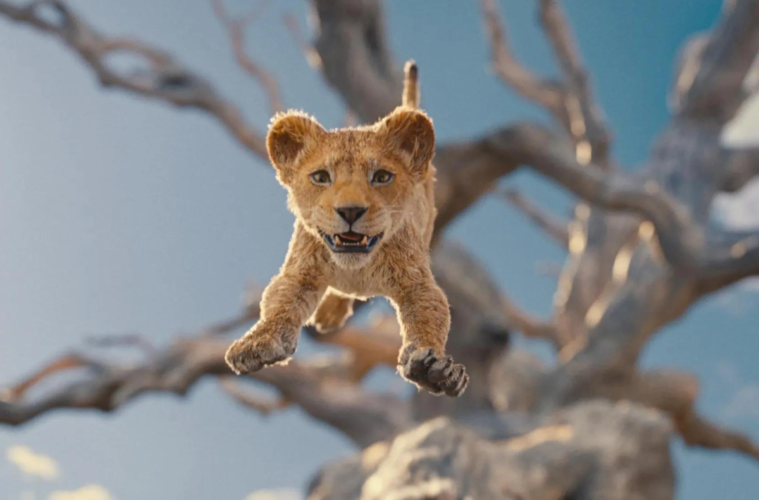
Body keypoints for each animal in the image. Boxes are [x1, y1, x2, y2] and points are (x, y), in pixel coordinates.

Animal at [225, 62, 468, 397]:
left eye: (381, 177)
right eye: (320, 177)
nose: (350, 211)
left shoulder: (416, 282)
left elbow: (429, 316)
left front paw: (433, 369)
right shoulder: (300, 272)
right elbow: (278, 304)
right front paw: (256, 342)